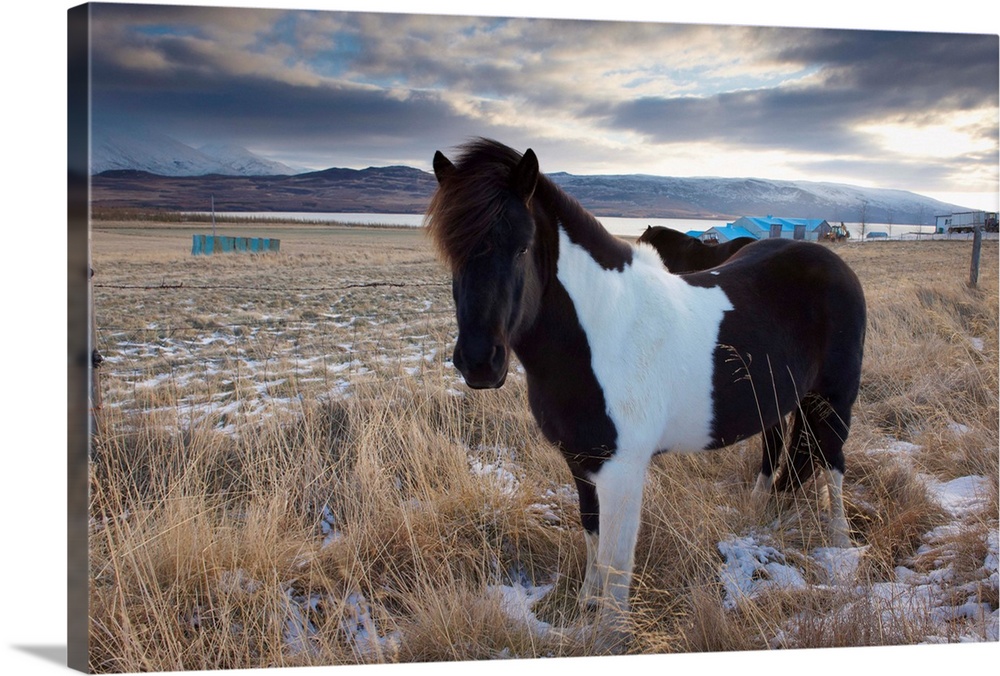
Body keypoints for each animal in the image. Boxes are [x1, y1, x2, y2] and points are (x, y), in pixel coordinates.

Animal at [426, 140, 864, 636]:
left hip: (834, 401)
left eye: (521, 248)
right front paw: (586, 603)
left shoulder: (623, 470)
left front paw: (609, 633)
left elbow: (617, 562)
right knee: (780, 451)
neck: (601, 332)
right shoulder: (582, 461)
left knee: (833, 464)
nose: (480, 363)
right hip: (779, 400)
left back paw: (839, 549)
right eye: (451, 254)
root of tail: (832, 263)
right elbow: (592, 535)